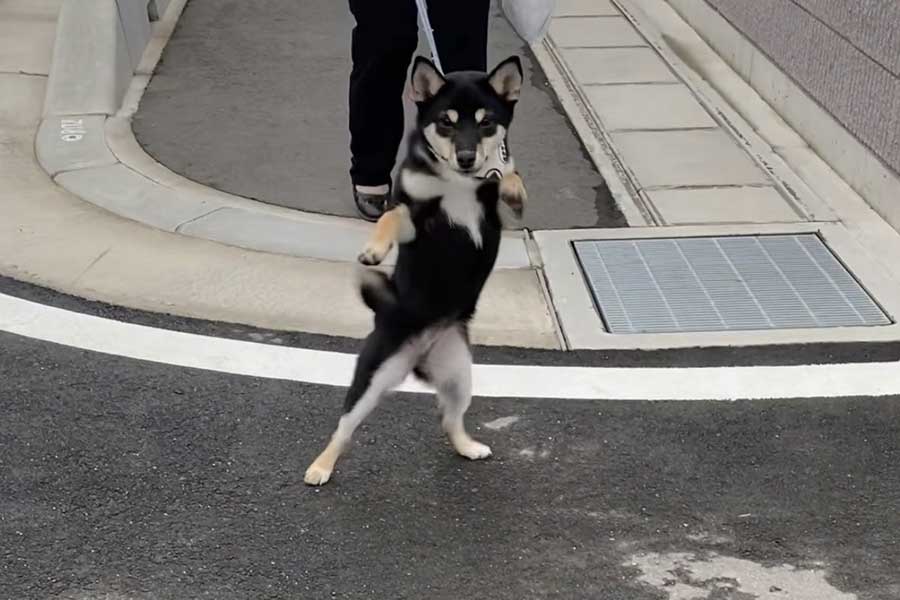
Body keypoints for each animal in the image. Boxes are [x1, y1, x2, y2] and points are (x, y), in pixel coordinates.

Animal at [304, 57, 524, 488]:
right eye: (446, 123)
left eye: (487, 122)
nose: (467, 157)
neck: (459, 184)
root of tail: (416, 355)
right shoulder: (417, 220)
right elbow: (390, 215)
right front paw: (374, 249)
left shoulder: (494, 209)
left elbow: (505, 173)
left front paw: (512, 186)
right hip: (372, 377)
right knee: (343, 428)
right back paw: (320, 466)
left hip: (458, 376)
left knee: (448, 418)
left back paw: (467, 446)